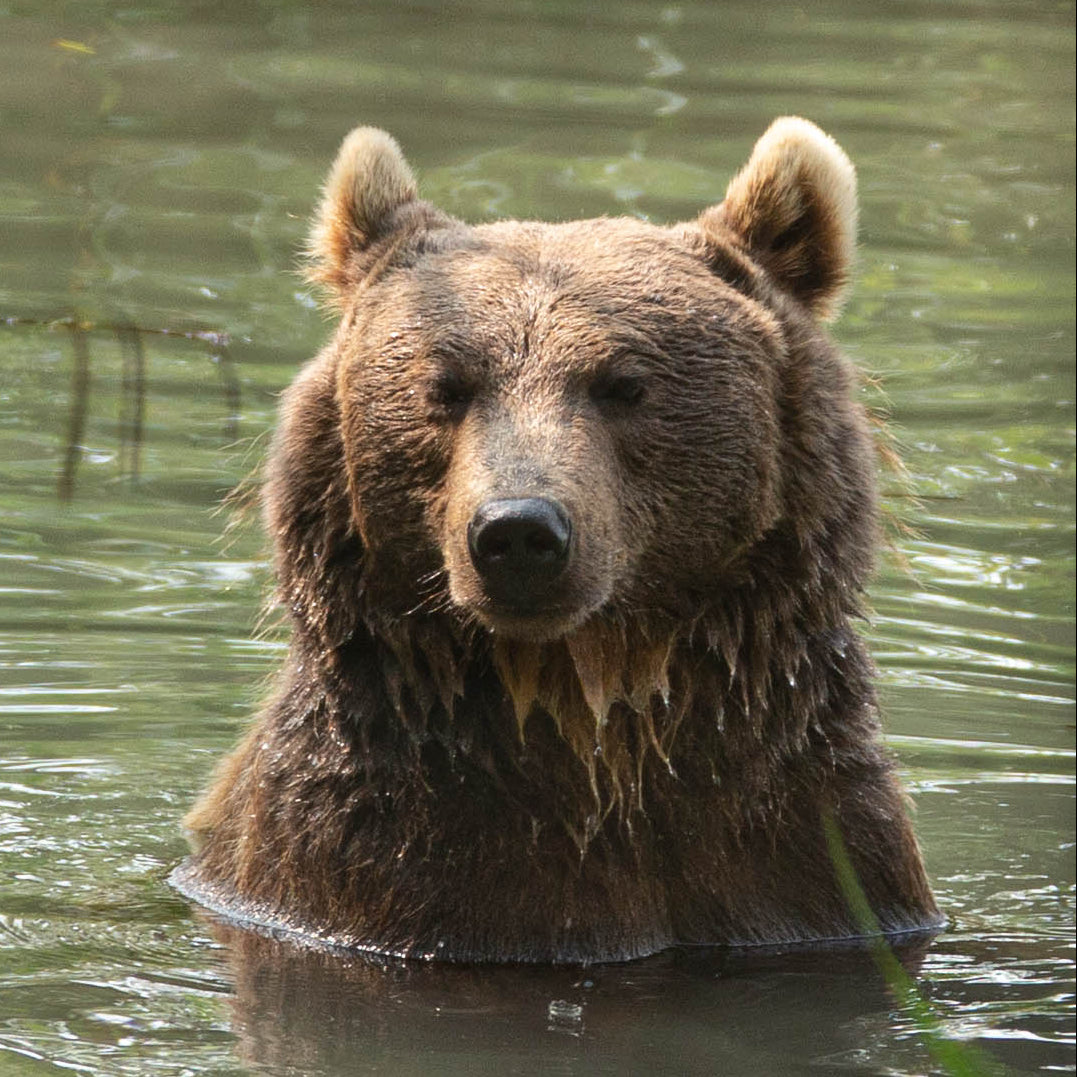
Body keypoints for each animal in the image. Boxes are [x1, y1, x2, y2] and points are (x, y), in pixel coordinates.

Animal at [170, 117, 942, 963]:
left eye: (624, 384)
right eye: (445, 386)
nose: (517, 532)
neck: (588, 700)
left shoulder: (808, 858)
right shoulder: (367, 864)